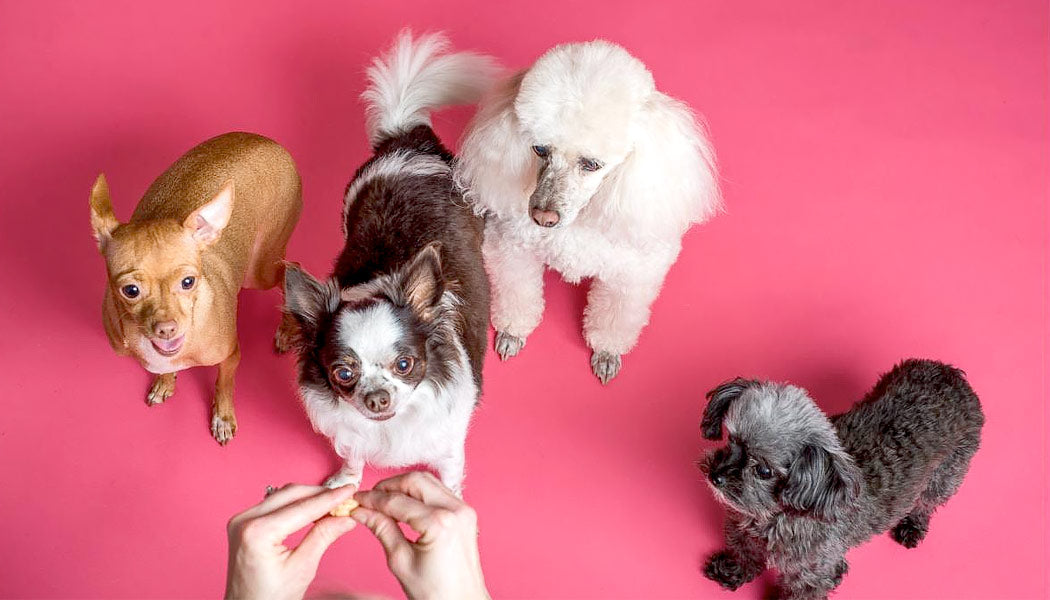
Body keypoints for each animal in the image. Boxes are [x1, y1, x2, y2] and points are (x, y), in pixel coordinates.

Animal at [697, 359, 982, 596]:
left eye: (764, 471)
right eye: (731, 440)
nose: (716, 476)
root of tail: (952, 374)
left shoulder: (814, 573)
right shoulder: (743, 531)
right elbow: (744, 553)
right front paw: (733, 570)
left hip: (947, 474)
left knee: (926, 503)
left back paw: (912, 524)